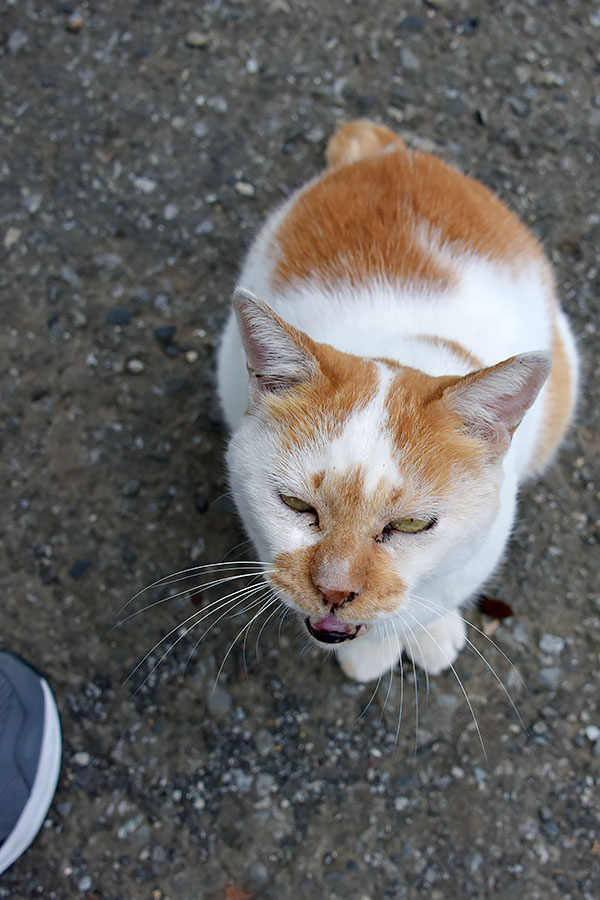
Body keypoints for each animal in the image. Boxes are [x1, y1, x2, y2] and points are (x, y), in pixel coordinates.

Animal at [216, 119, 576, 684]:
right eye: (296, 505)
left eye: (411, 525)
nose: (334, 591)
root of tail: (396, 154)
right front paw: (373, 650)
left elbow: (432, 598)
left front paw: (419, 633)